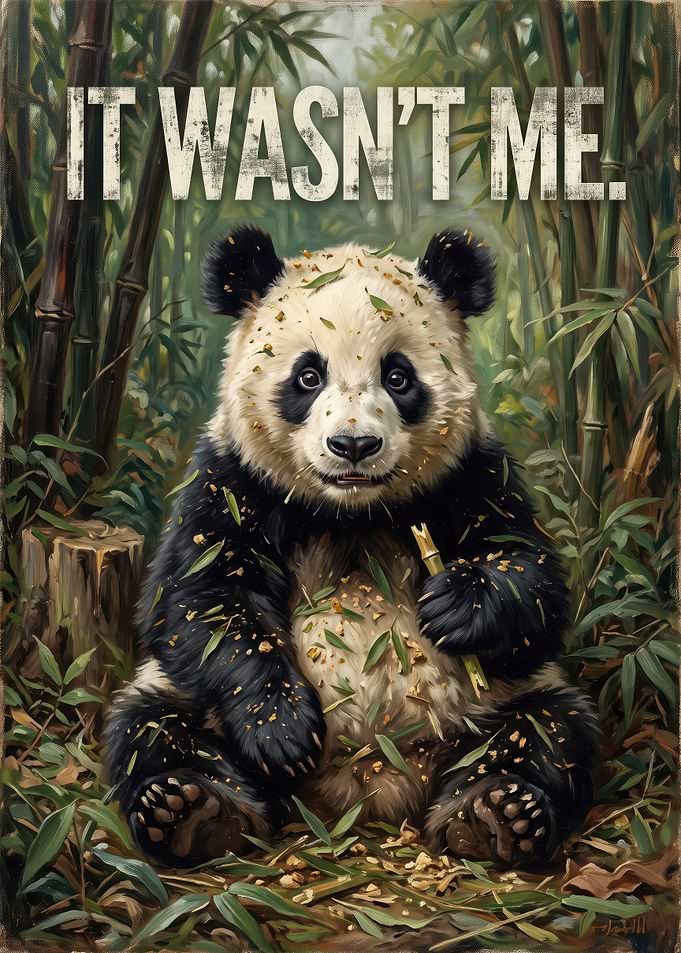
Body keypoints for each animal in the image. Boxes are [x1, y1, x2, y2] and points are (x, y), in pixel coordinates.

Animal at [105, 225, 599, 870]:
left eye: (399, 377)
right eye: (307, 376)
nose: (354, 445)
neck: (351, 515)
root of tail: (365, 795)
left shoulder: (470, 477)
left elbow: (531, 576)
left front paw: (458, 604)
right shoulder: (231, 481)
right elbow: (200, 599)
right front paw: (280, 728)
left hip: (496, 704)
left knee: (546, 731)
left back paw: (495, 815)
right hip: (178, 697)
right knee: (153, 729)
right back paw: (194, 812)